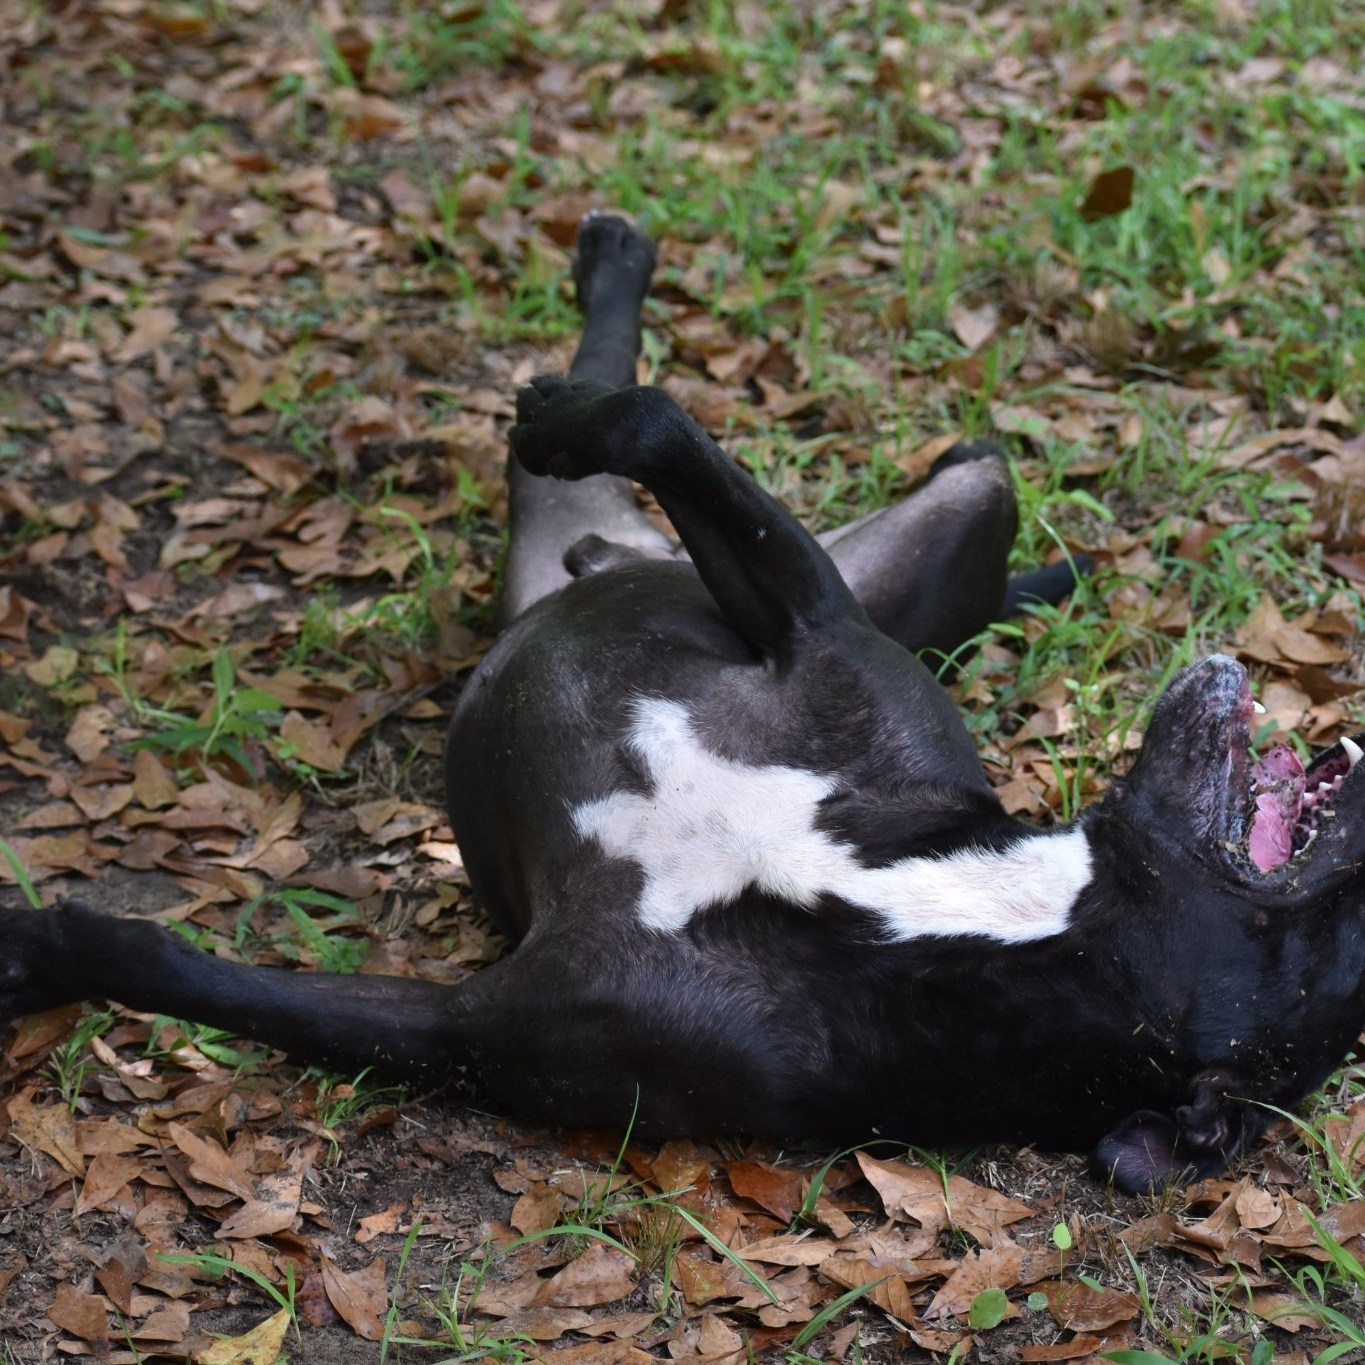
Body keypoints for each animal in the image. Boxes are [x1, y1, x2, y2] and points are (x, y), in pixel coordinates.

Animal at [2, 218, 1365, 1190]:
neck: (937, 919)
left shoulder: (475, 1027)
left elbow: (181, 968)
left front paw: (44, 949)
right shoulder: (812, 619)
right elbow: (660, 423)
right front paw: (573, 406)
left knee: (566, 473)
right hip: (954, 509)